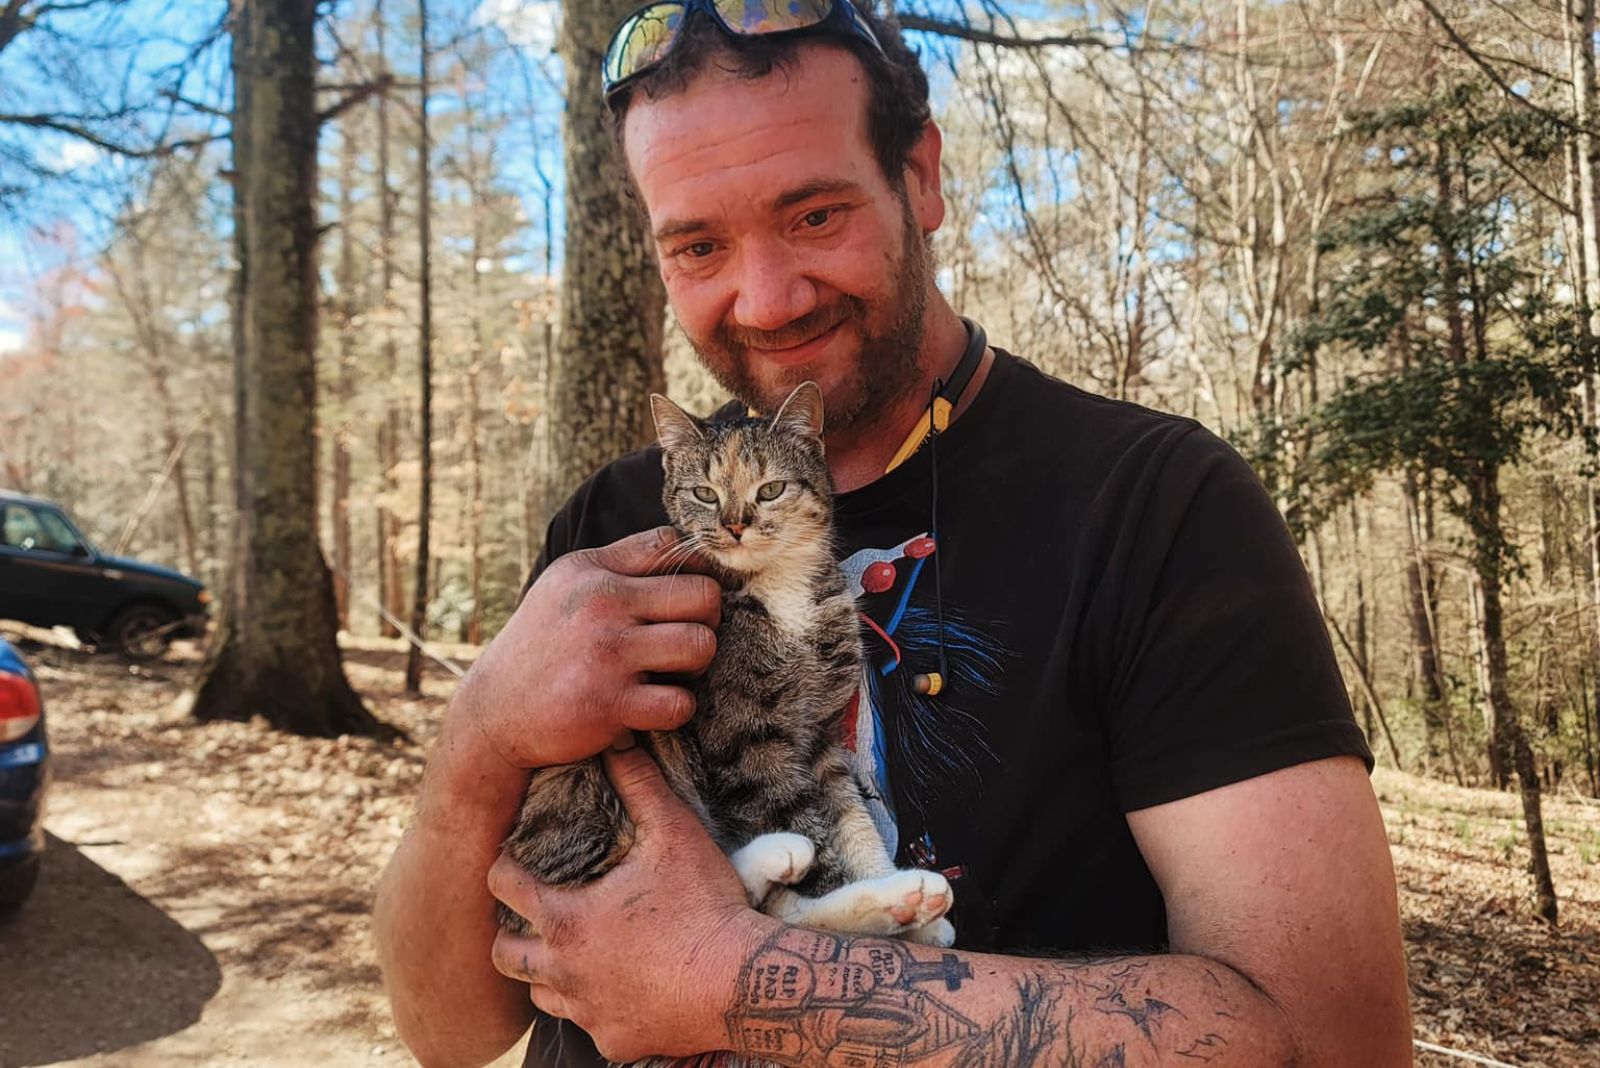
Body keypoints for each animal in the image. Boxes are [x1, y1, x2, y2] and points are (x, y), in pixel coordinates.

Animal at [499, 378, 947, 946]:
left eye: (771, 490)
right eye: (705, 494)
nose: (735, 525)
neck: (781, 588)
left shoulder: (821, 736)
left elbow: (853, 821)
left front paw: (900, 898)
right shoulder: (742, 736)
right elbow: (801, 831)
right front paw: (873, 896)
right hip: (588, 776)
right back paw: (794, 860)